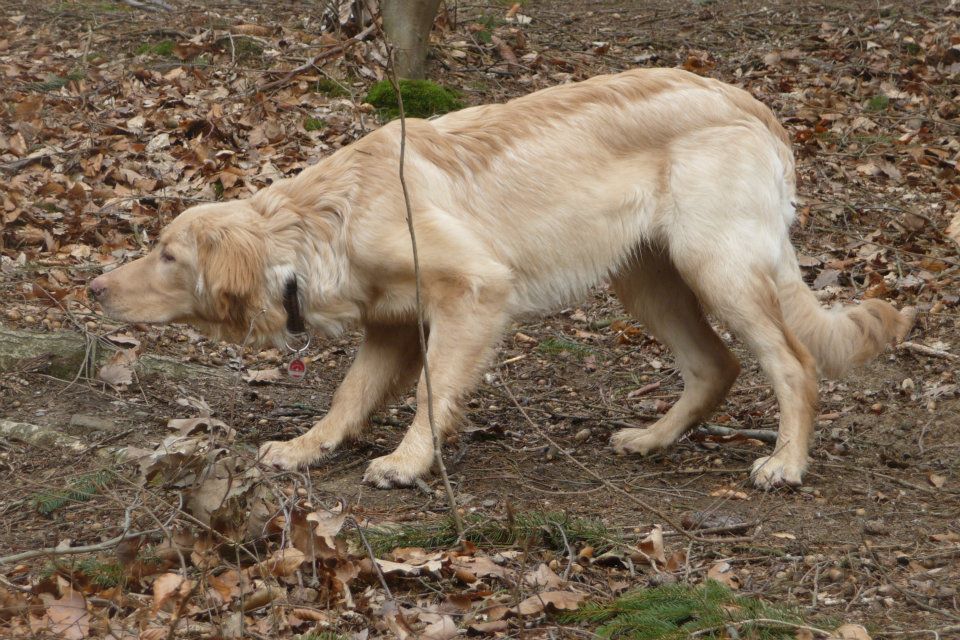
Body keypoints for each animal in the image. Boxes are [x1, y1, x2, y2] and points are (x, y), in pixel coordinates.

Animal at [90, 68, 915, 490]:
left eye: (167, 254)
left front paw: (408, 461)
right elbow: (348, 397)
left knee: (794, 365)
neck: (328, 218)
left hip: (718, 268)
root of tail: (753, 106)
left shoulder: (474, 293)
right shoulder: (391, 327)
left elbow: (432, 393)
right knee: (716, 365)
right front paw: (305, 448)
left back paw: (786, 464)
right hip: (646, 278)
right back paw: (652, 440)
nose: (95, 289)